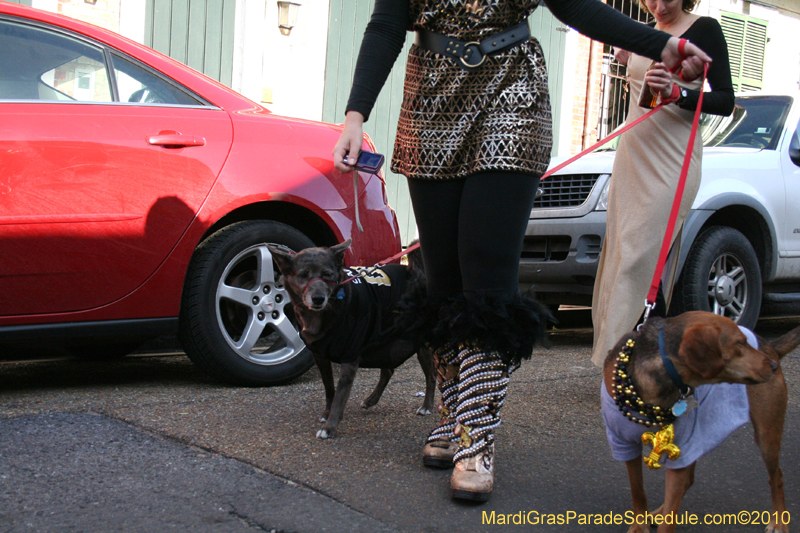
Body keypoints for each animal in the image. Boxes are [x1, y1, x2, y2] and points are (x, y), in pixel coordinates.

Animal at [268, 239, 434, 438]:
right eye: (303, 275)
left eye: (328, 274)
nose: (318, 298)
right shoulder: (320, 356)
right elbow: (329, 389)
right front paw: (327, 413)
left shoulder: (350, 357)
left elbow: (340, 395)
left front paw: (329, 427)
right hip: (382, 338)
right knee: (388, 370)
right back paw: (371, 399)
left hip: (423, 345)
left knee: (431, 377)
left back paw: (427, 406)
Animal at [604, 312, 796, 532]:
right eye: (740, 343)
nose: (773, 366)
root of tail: (770, 347)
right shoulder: (623, 443)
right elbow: (638, 491)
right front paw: (639, 525)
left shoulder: (680, 450)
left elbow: (671, 514)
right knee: (688, 481)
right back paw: (659, 512)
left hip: (766, 435)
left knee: (777, 478)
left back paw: (779, 522)